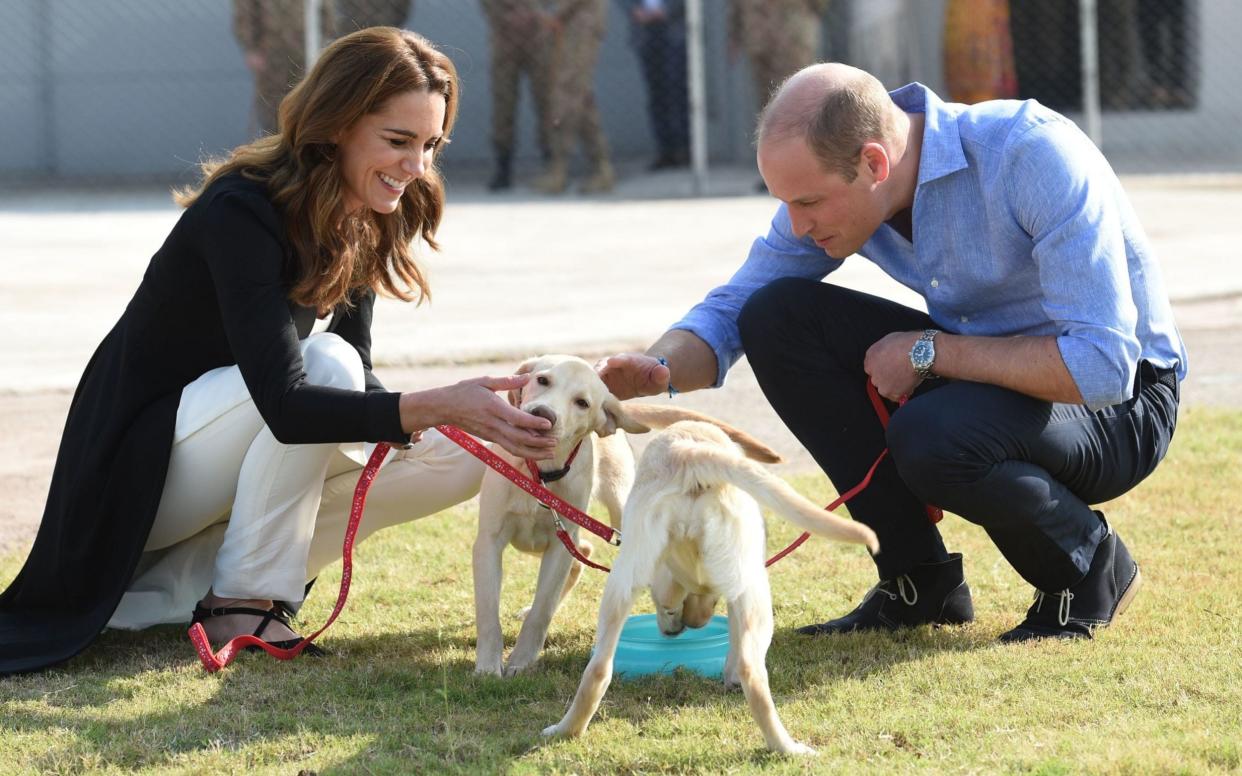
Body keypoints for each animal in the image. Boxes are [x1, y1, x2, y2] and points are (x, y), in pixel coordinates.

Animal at [471, 355, 650, 675]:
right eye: (542, 380)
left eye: (582, 403)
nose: (542, 414)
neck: (541, 474)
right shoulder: (488, 542)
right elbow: (488, 610)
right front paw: (488, 665)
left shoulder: (557, 548)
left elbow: (542, 610)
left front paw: (521, 661)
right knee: (583, 550)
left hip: (614, 511)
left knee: (585, 553)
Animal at [546, 417, 884, 749]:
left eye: (669, 609)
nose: (679, 629)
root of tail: (689, 454)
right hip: (754, 588)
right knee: (752, 669)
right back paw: (787, 747)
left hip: (622, 581)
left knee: (598, 668)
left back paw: (565, 731)